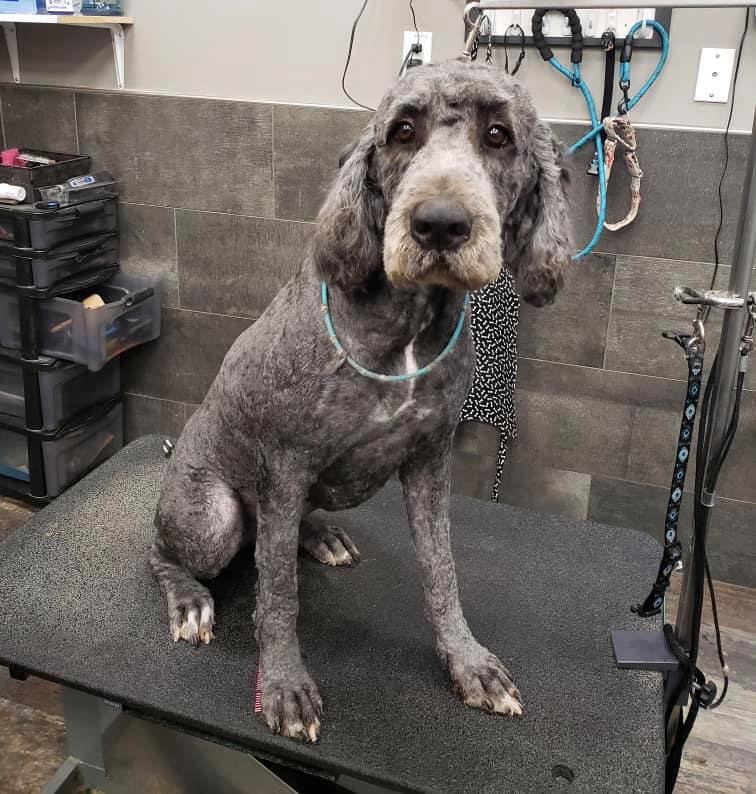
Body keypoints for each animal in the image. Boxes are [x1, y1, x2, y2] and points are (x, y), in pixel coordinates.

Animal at [151, 59, 571, 743]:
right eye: (402, 131)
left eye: (498, 135)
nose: (439, 223)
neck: (404, 323)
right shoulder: (285, 467)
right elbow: (279, 597)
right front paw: (285, 685)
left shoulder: (429, 461)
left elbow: (442, 572)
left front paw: (467, 661)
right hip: (213, 517)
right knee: (167, 549)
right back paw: (189, 599)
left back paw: (320, 534)